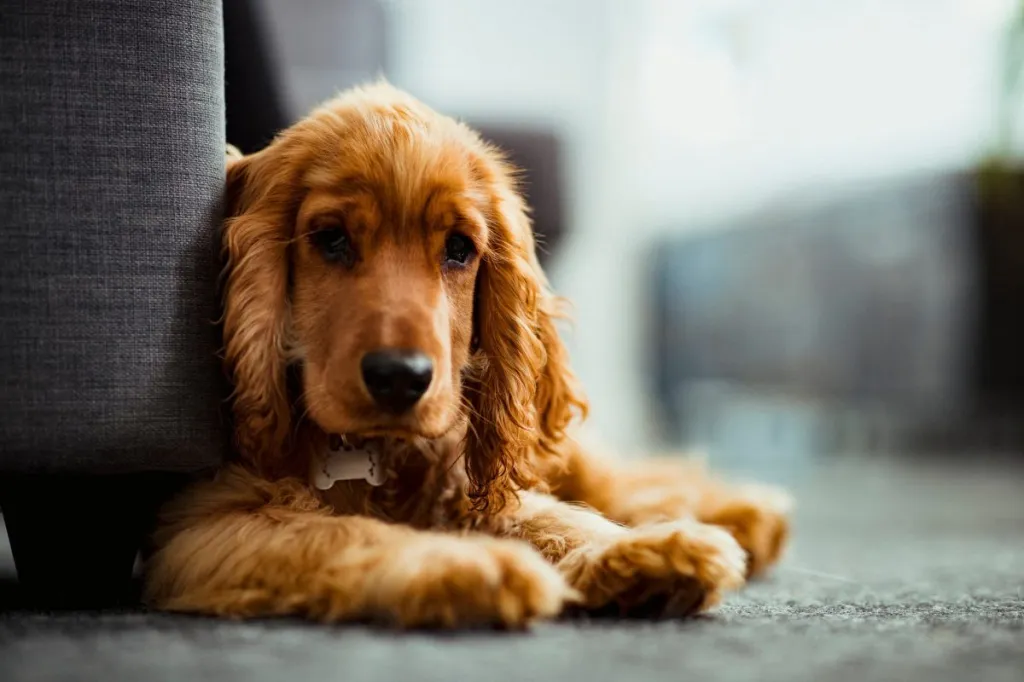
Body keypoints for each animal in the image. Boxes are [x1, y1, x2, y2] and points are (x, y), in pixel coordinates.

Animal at [140, 82, 786, 622]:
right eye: (331, 240)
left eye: (458, 249)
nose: (401, 378)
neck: (374, 455)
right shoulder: (200, 526)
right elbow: (341, 533)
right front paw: (468, 564)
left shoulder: (464, 470)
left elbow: (544, 514)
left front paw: (640, 551)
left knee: (617, 479)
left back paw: (739, 516)